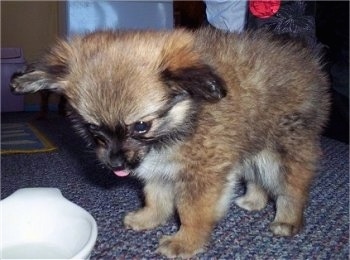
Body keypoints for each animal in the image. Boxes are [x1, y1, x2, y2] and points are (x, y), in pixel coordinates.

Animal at [10, 28, 328, 258]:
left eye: (141, 126)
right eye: (92, 128)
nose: (115, 163)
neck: (184, 115)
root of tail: (308, 61)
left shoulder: (201, 174)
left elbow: (191, 212)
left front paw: (185, 242)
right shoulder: (159, 171)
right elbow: (156, 197)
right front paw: (149, 218)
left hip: (282, 152)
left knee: (292, 188)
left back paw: (287, 220)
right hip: (253, 147)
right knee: (256, 175)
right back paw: (253, 200)